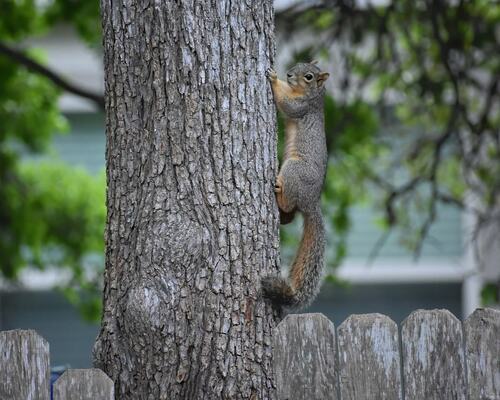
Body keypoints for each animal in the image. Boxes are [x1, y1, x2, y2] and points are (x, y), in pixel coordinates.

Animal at [260, 60, 330, 310]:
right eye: (298, 64)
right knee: (290, 215)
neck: (315, 96)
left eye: (308, 76)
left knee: (290, 204)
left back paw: (278, 190)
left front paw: (274, 78)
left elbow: (286, 104)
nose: (289, 74)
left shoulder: (302, 107)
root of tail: (311, 201)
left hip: (293, 169)